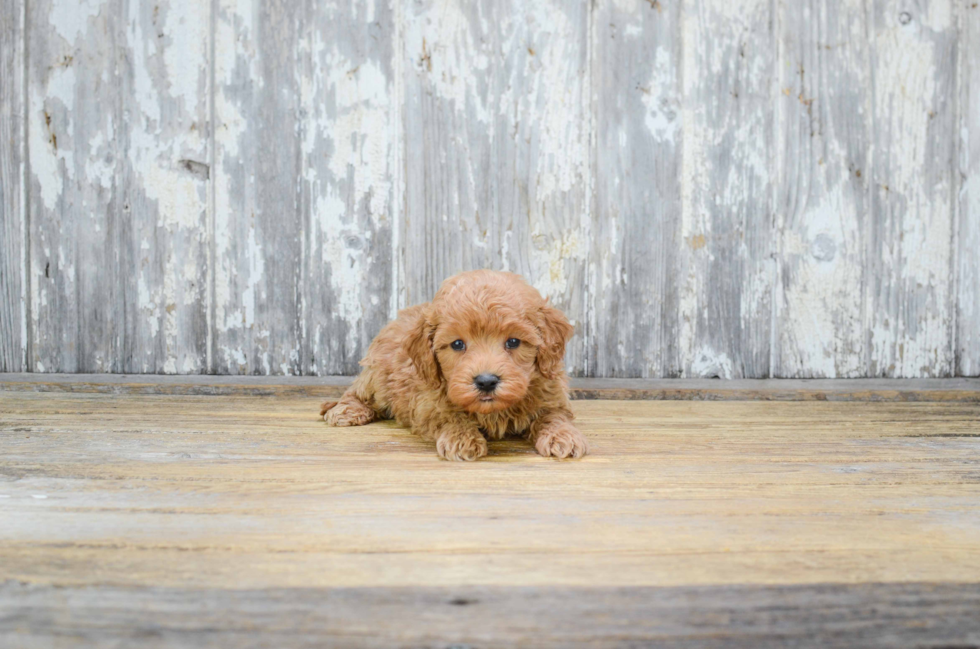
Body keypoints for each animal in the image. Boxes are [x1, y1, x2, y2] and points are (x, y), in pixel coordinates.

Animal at [320, 268, 588, 460]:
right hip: (378, 375)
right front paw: (462, 438)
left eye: (513, 341)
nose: (486, 381)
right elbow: (449, 415)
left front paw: (563, 436)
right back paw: (347, 411)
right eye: (458, 344)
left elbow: (554, 415)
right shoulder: (427, 402)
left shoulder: (551, 393)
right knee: (357, 392)